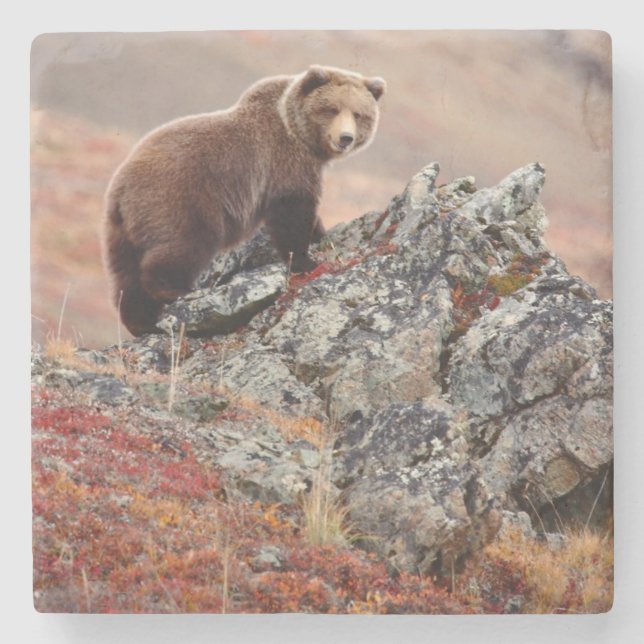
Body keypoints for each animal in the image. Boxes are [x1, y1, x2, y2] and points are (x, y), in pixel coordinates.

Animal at [103, 64, 386, 336]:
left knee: (126, 275)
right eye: (332, 109)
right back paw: (174, 291)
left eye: (358, 114)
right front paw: (307, 261)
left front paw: (320, 236)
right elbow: (291, 213)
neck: (301, 136)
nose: (345, 138)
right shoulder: (284, 162)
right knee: (183, 245)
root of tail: (120, 189)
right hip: (179, 199)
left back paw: (140, 322)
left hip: (122, 230)